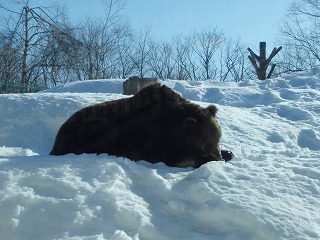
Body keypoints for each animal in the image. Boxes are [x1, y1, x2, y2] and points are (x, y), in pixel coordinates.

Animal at [49, 83, 232, 168]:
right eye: (203, 137)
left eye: (218, 136)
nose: (218, 154)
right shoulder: (156, 145)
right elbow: (181, 158)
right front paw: (211, 158)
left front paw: (227, 153)